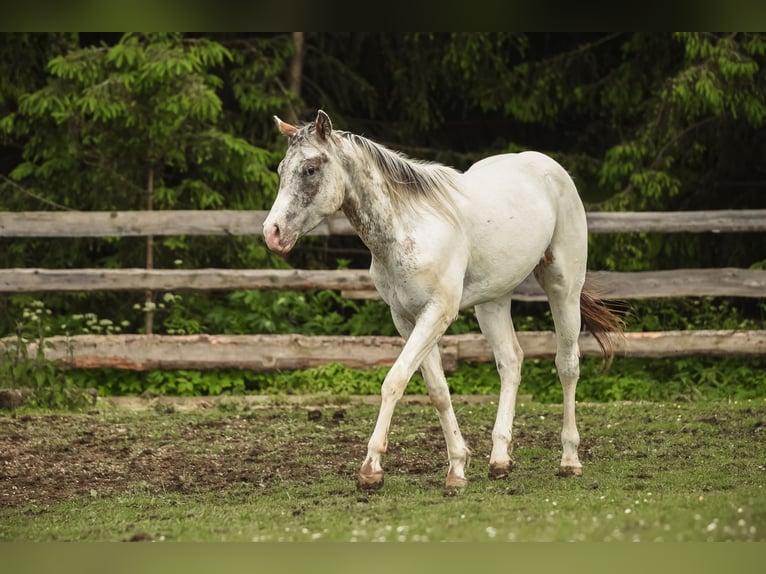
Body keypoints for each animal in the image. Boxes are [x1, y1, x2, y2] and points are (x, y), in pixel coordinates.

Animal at [263, 110, 623, 490]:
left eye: (310, 169)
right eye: (281, 169)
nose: (271, 233)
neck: (406, 230)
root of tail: (551, 168)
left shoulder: (437, 313)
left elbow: (394, 380)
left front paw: (371, 467)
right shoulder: (406, 319)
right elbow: (437, 389)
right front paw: (457, 467)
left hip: (563, 287)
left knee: (567, 365)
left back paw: (569, 460)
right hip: (492, 301)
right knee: (511, 361)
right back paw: (500, 459)